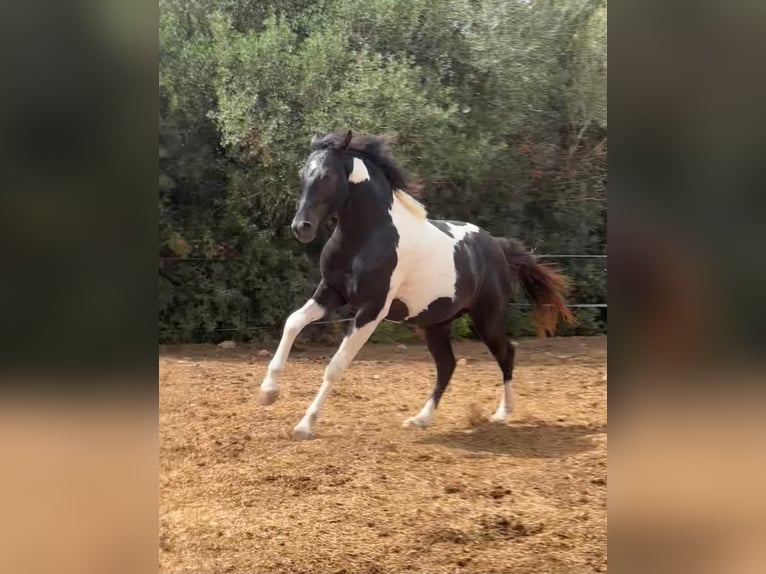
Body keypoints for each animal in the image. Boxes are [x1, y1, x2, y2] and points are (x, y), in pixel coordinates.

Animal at [259, 130, 573, 439]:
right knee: (447, 364)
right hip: (435, 323)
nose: (301, 227)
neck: (367, 237)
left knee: (507, 352)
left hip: (488, 319)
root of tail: (497, 245)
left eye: (327, 175)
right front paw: (268, 393)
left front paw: (305, 425)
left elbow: (336, 365)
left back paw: (502, 414)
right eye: (302, 173)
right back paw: (421, 419)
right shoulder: (330, 293)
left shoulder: (371, 309)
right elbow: (292, 322)